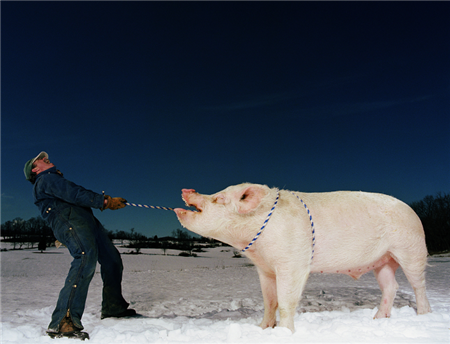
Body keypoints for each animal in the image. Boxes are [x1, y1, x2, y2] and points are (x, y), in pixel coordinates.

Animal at [173, 184, 432, 332]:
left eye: (219, 199)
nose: (187, 191)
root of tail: (413, 212)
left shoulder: (293, 263)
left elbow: (286, 302)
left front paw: (286, 333)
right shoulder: (265, 268)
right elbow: (269, 301)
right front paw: (262, 329)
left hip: (412, 250)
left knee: (418, 285)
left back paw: (423, 315)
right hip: (383, 261)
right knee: (391, 286)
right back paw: (377, 319)